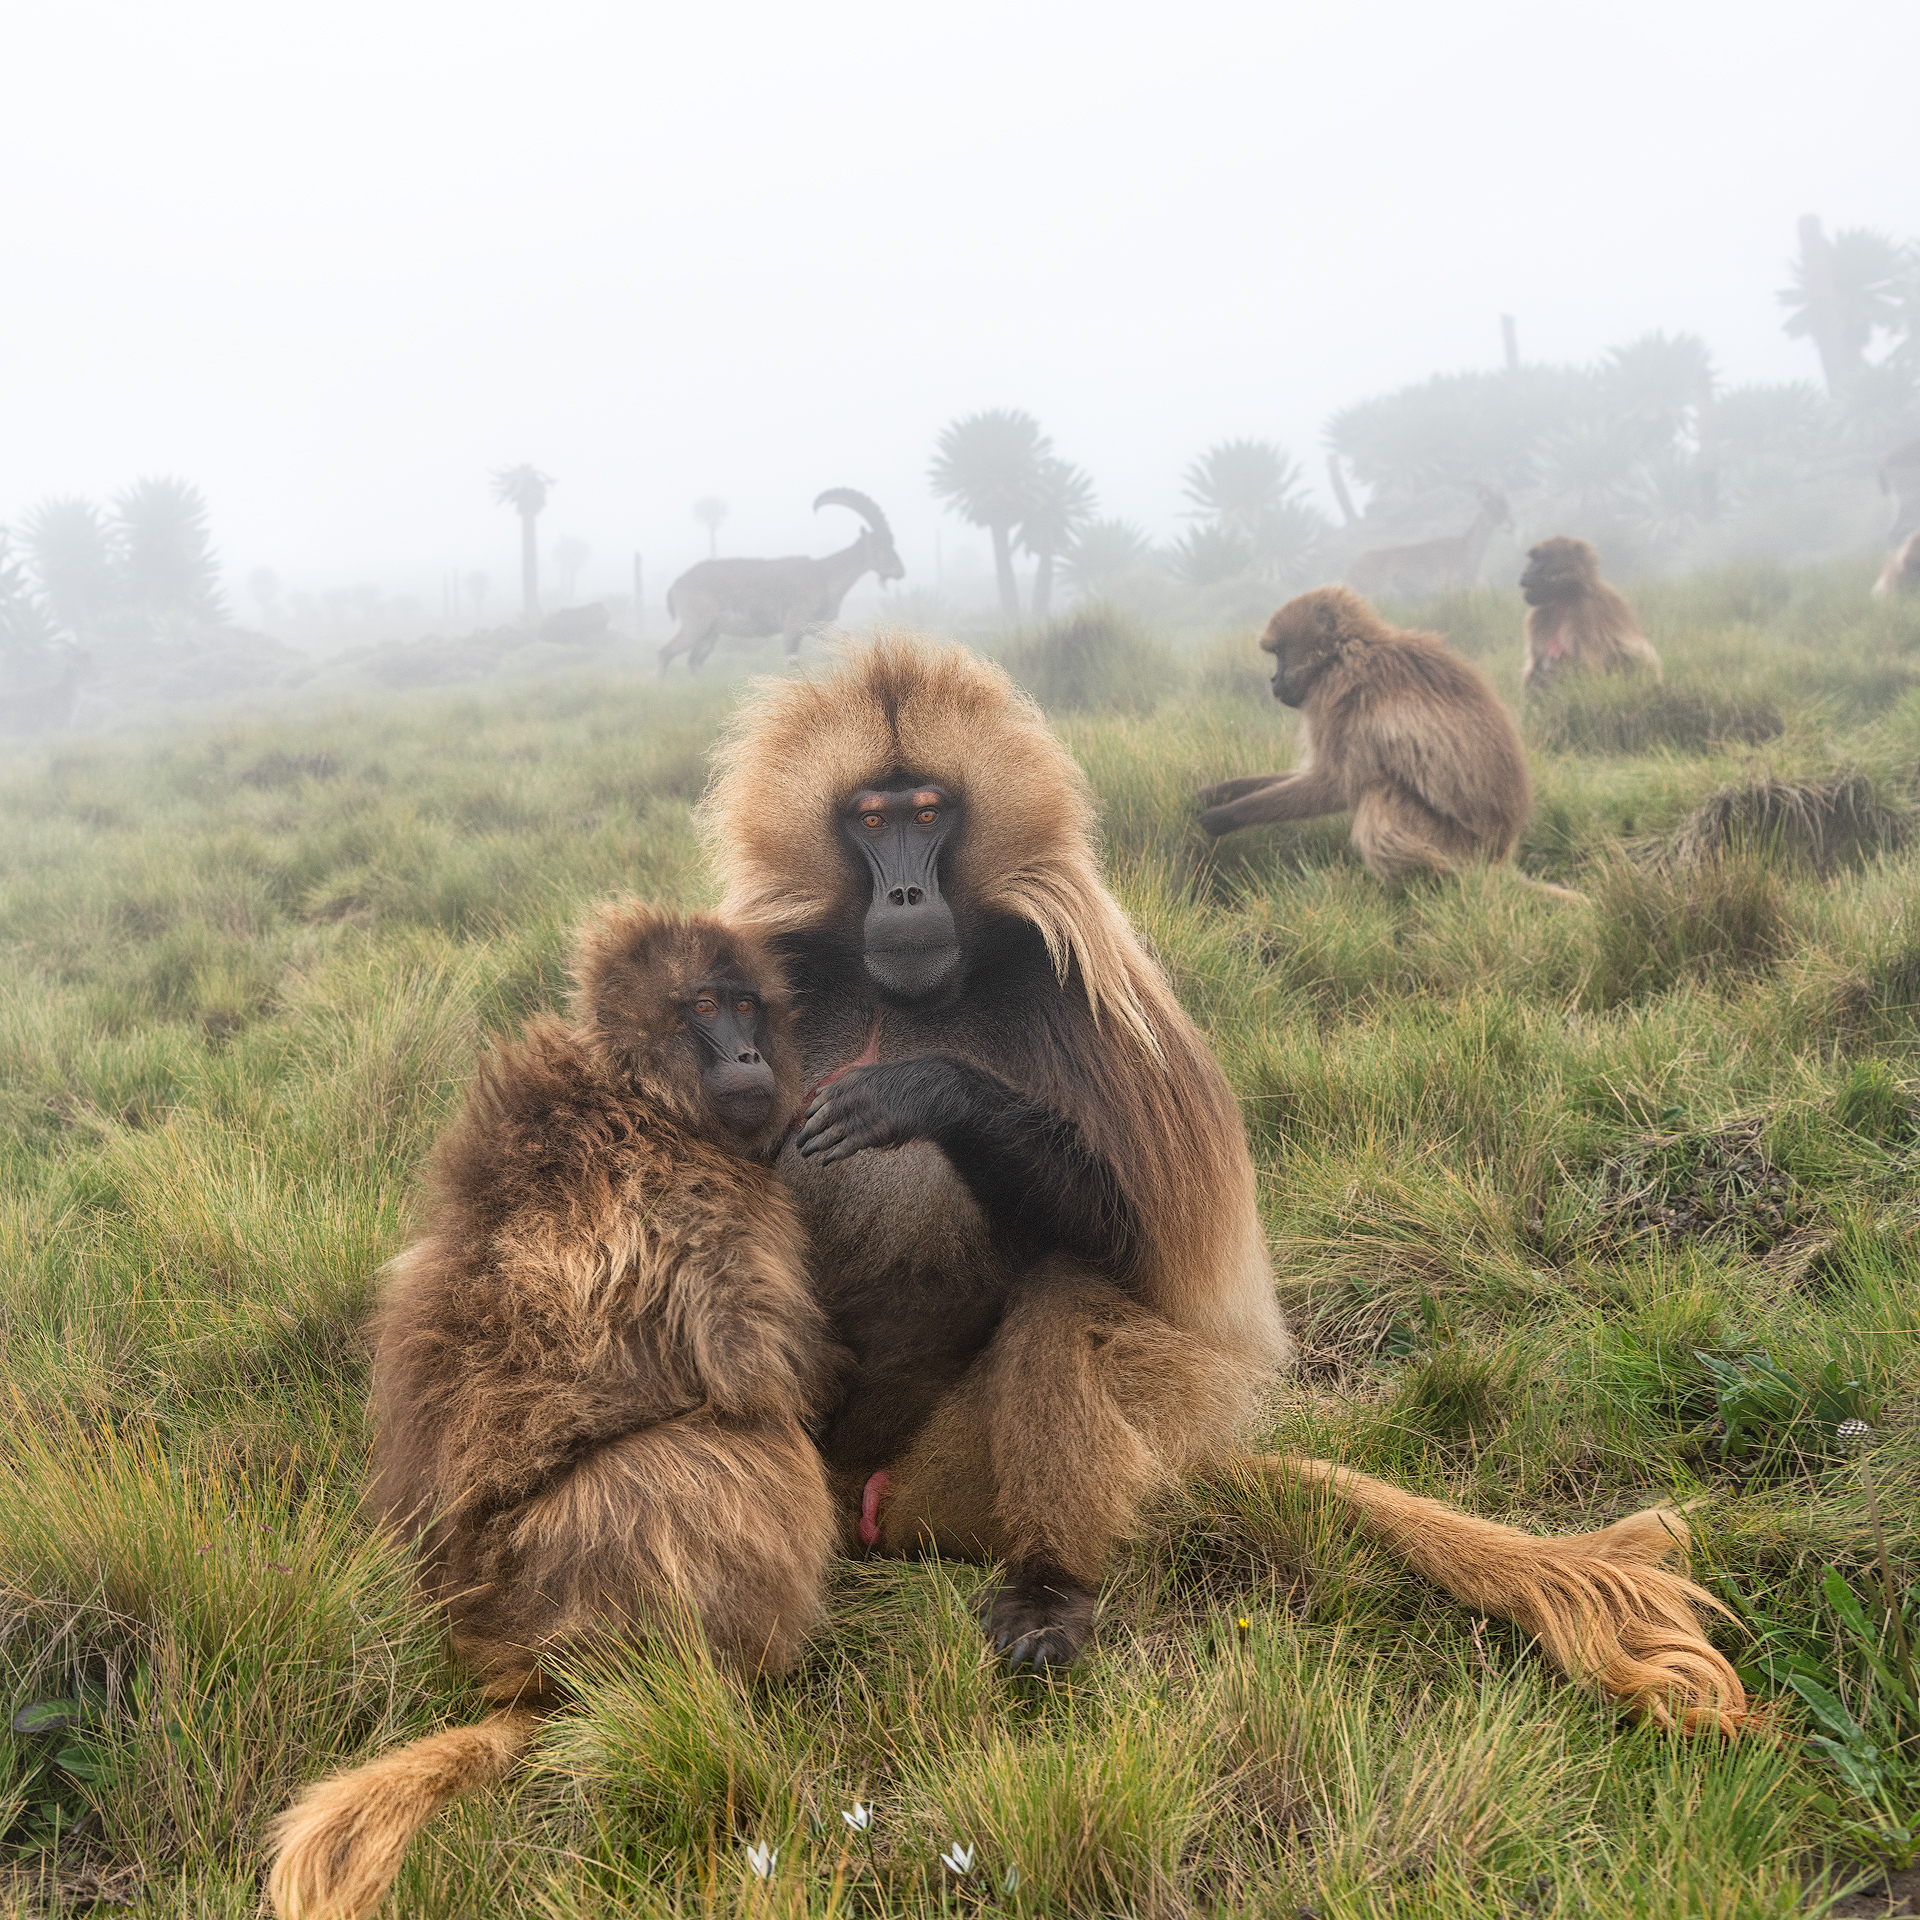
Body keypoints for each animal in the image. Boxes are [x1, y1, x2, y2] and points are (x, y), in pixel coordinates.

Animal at [268, 905, 841, 1920]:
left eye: (746, 1004)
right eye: (704, 1006)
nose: (748, 1055)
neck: (631, 1084)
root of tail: (498, 1653)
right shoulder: (697, 1198)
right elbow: (753, 1379)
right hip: (587, 1573)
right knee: (728, 1456)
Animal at [702, 634, 1744, 1730]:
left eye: (931, 813)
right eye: (871, 820)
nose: (905, 896)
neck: (901, 999)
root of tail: (873, 1509)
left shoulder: (1081, 998)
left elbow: (1138, 1256)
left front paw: (925, 1092)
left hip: (958, 1493)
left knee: (1070, 1290)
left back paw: (1048, 1592)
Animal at [1519, 537, 1663, 688]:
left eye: (1542, 558)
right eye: (1534, 559)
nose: (1525, 574)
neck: (1565, 599)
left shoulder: (1587, 612)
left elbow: (1590, 667)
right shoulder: (1537, 618)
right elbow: (1537, 665)